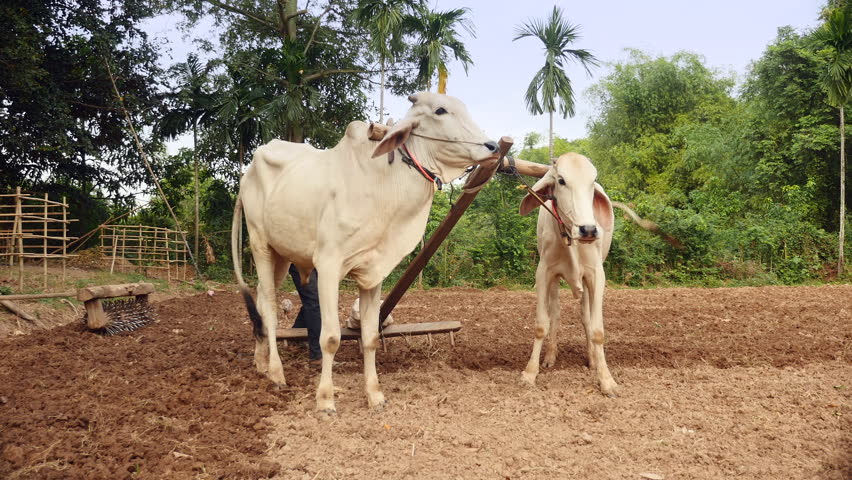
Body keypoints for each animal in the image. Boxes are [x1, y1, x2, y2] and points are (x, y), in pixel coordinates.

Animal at [520, 152, 620, 396]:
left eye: (593, 181)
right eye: (561, 180)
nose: (588, 230)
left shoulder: (596, 275)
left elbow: (596, 329)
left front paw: (606, 379)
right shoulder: (544, 273)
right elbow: (541, 325)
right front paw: (530, 372)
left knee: (585, 317)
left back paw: (592, 359)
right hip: (555, 281)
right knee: (555, 314)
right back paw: (550, 356)